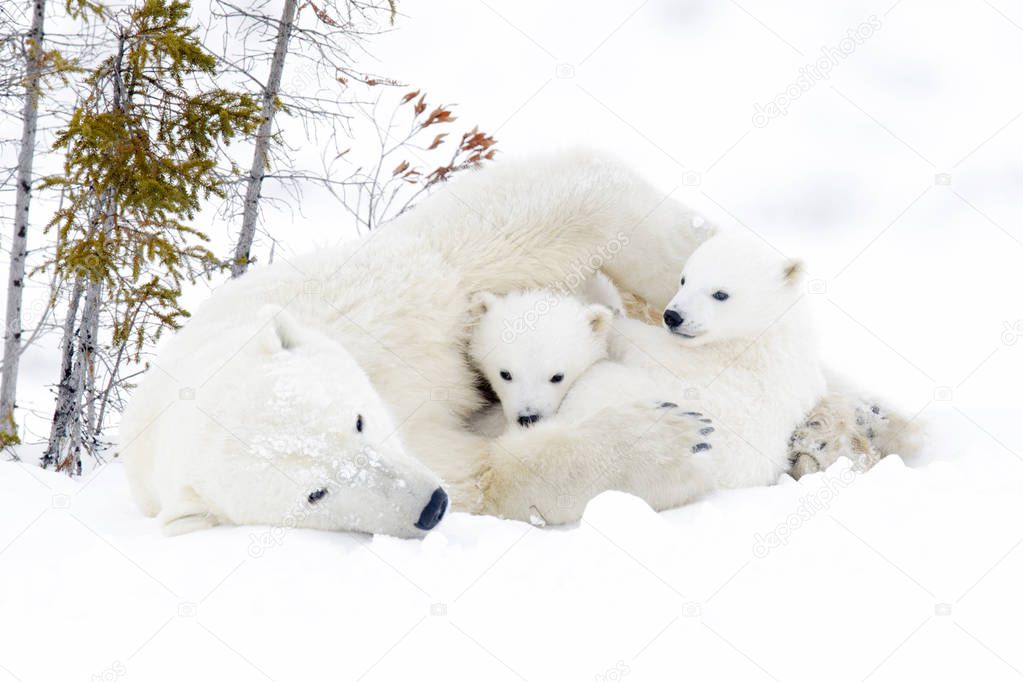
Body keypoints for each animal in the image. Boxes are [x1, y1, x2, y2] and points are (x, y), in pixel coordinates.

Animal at [119, 149, 712, 539]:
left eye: (357, 421)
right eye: (315, 492)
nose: (430, 506)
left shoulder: (382, 299)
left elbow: (538, 216)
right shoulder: (426, 453)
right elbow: (490, 476)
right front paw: (677, 441)